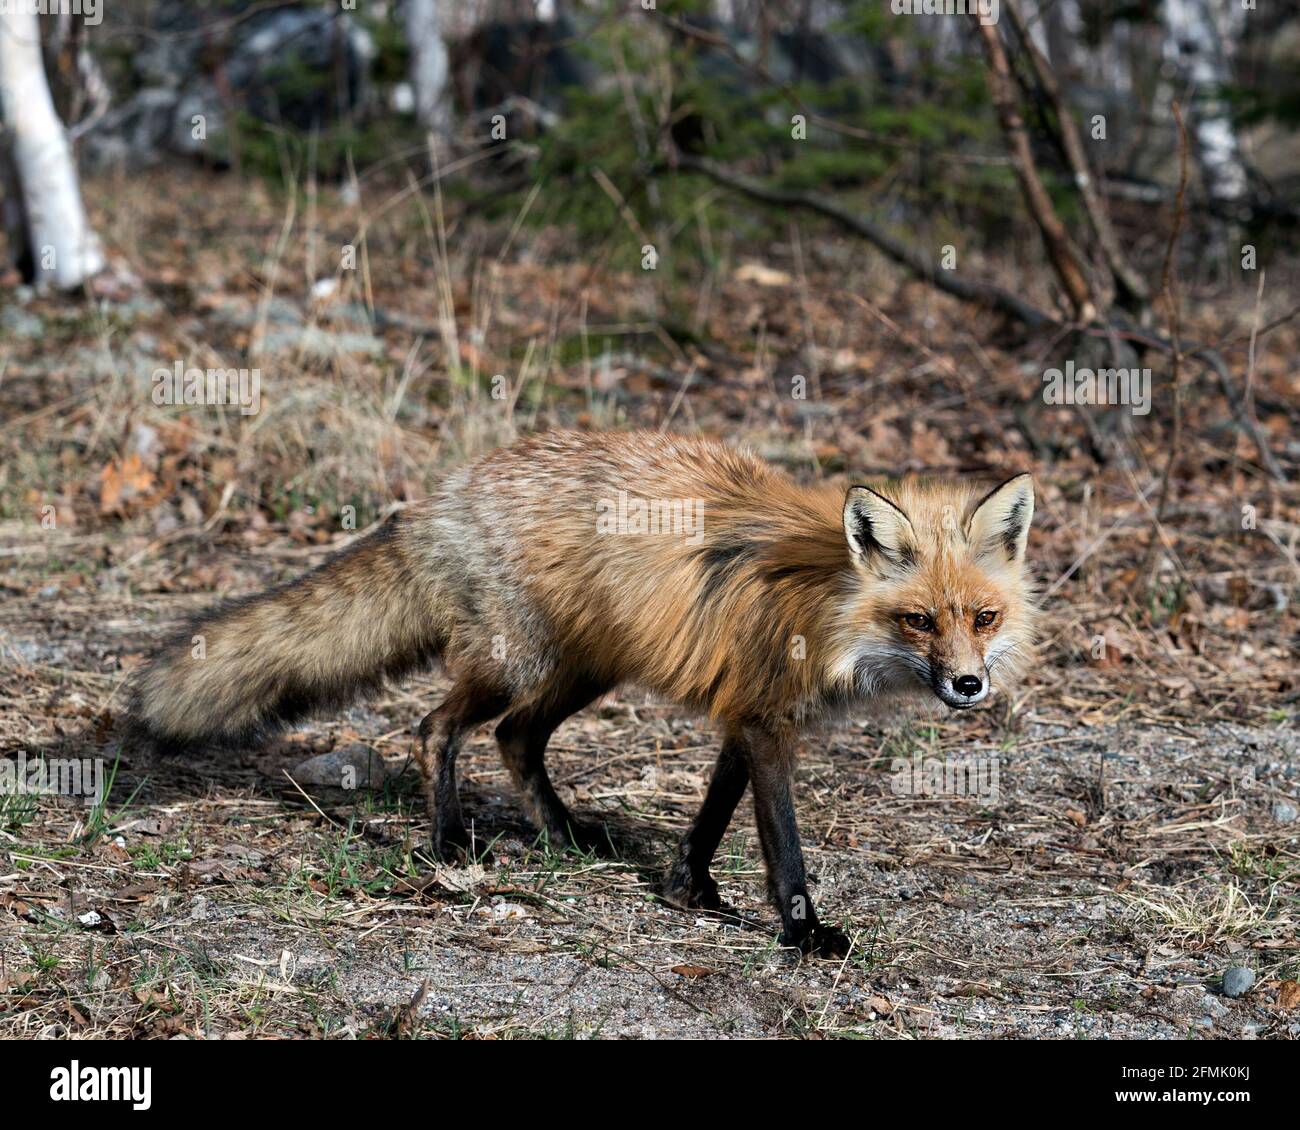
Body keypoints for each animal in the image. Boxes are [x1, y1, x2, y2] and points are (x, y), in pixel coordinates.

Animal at [131, 429, 1034, 951]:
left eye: (984, 617)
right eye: (918, 620)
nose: (968, 685)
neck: (826, 605)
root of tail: (439, 498)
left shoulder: (744, 712)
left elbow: (711, 817)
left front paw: (687, 889)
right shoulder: (766, 719)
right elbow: (784, 844)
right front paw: (805, 934)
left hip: (582, 669)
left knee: (513, 739)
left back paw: (562, 836)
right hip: (519, 666)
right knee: (434, 728)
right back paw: (448, 842)